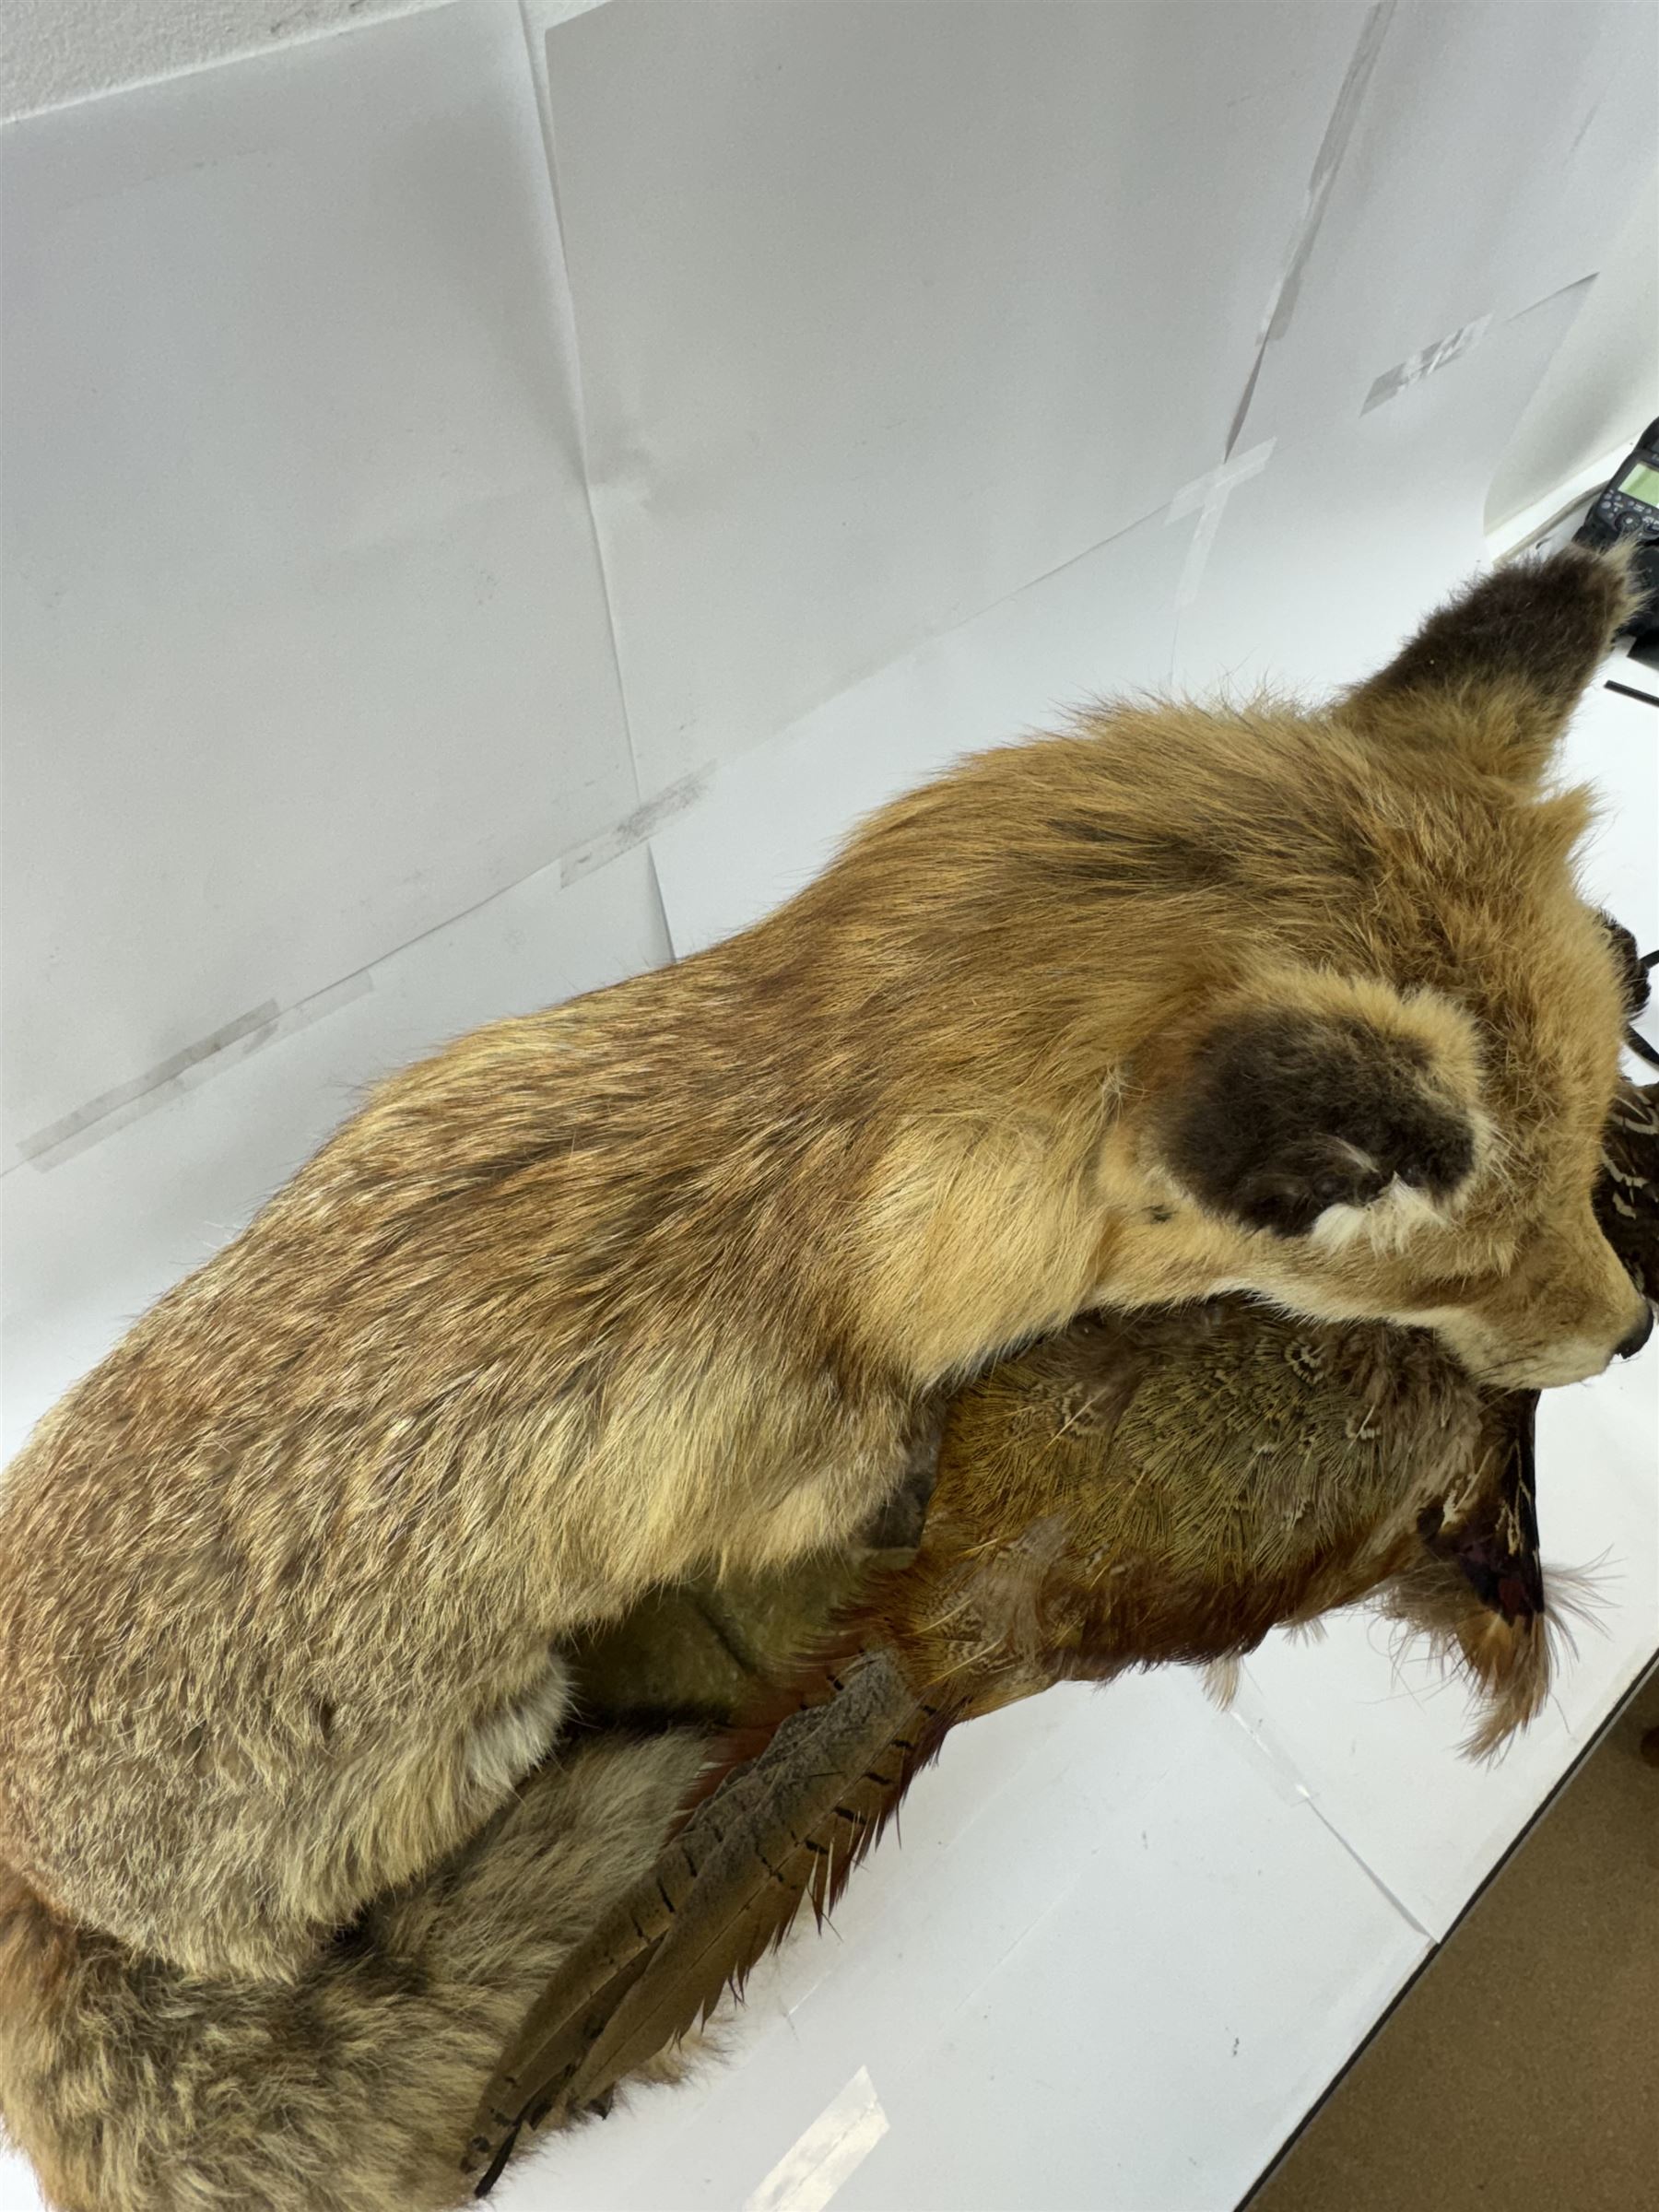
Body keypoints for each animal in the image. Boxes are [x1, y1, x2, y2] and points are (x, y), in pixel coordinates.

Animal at [0, 543, 1651, 2210]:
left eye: (1592, 1158)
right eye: (1462, 1272)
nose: (1635, 1328)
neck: (808, 1153)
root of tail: (35, 1878)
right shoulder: (809, 1462)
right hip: (503, 1722)